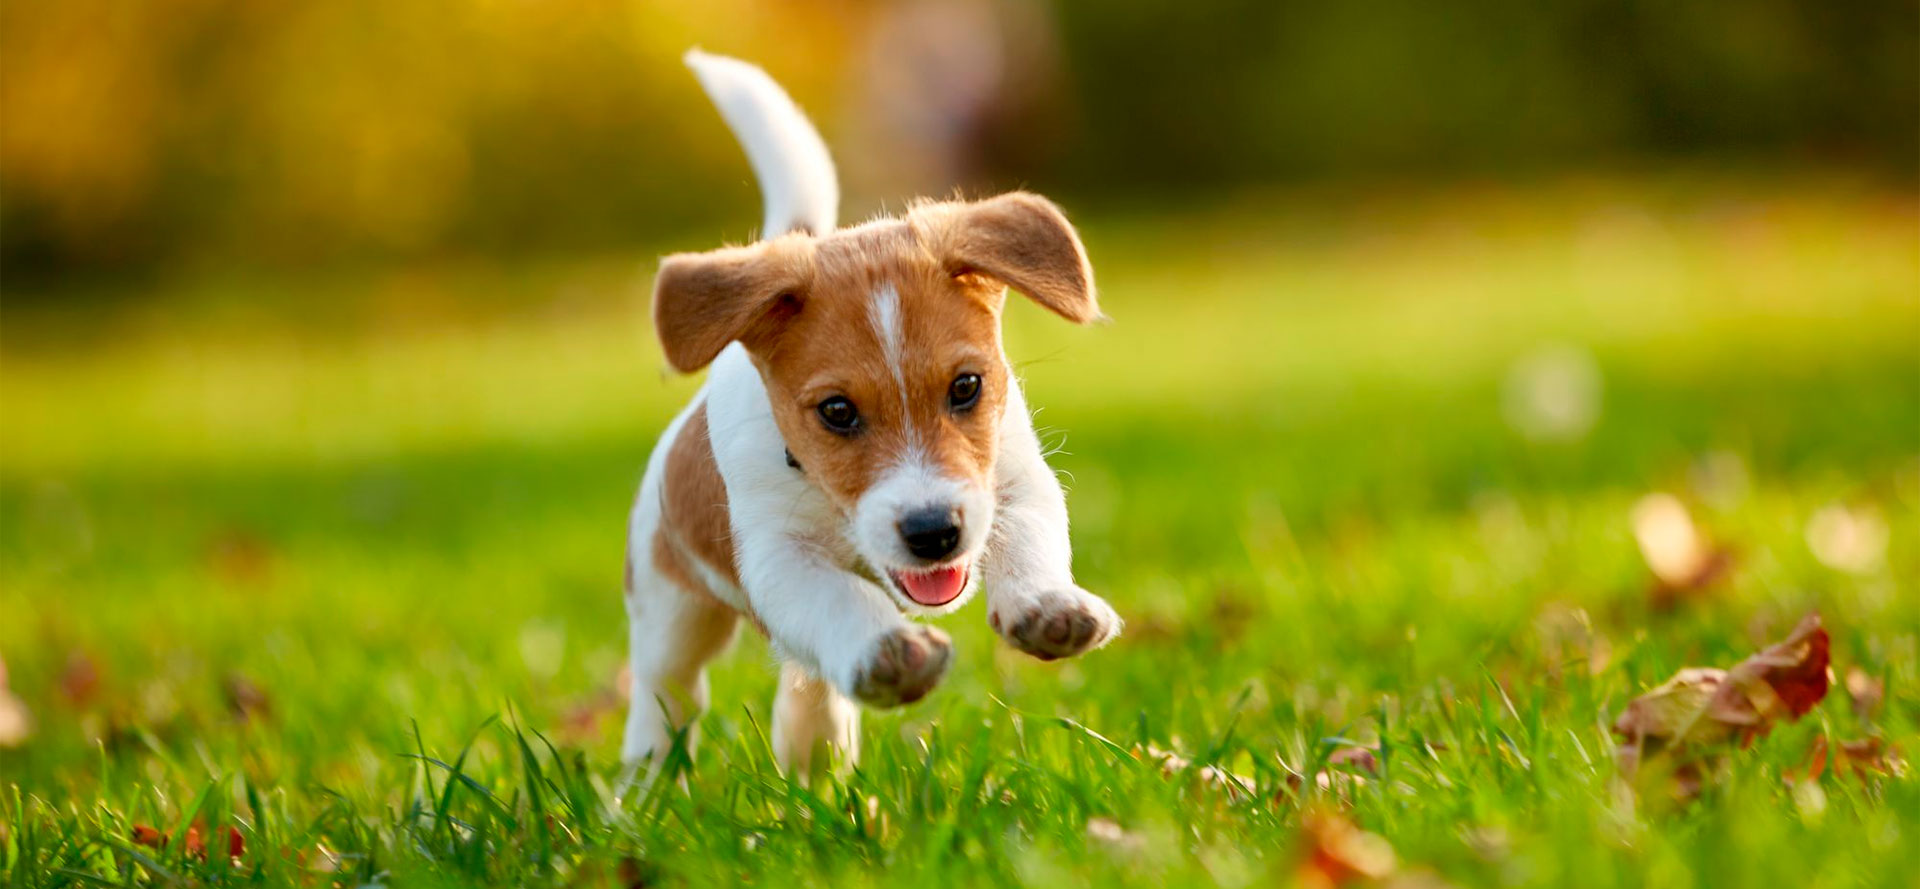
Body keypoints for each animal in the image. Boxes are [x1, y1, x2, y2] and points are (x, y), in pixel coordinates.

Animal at [622, 52, 1121, 779]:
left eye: (966, 386)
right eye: (836, 411)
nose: (933, 532)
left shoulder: (1014, 481)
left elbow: (1031, 539)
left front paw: (1046, 604)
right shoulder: (778, 558)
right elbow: (838, 600)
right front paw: (889, 653)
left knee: (809, 687)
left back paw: (815, 770)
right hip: (668, 614)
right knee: (666, 700)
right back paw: (643, 789)